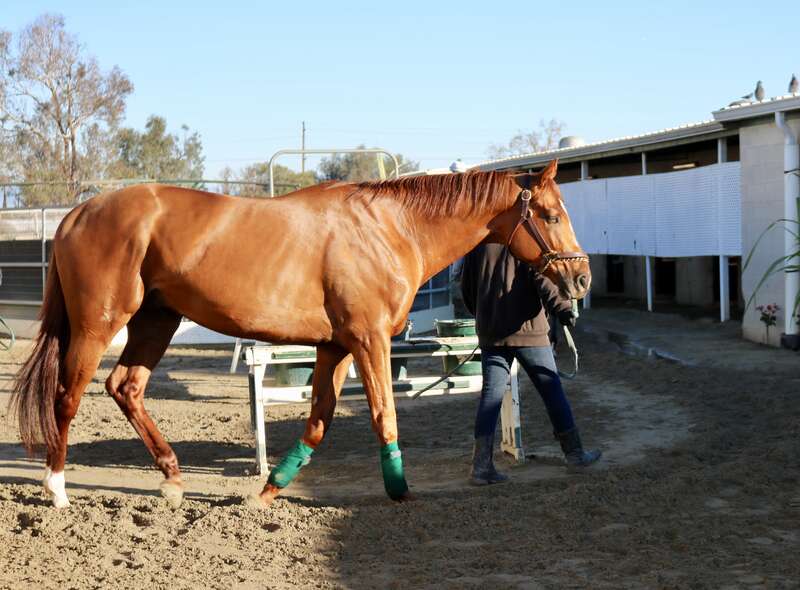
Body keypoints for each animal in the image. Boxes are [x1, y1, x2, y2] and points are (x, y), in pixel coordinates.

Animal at [9, 159, 590, 509]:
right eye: (550, 214)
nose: (581, 278)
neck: (389, 228)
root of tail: (77, 214)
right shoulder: (369, 340)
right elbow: (383, 413)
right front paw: (399, 489)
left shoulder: (335, 346)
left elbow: (318, 422)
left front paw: (269, 489)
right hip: (99, 323)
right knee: (67, 396)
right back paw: (56, 489)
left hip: (156, 320)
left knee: (125, 387)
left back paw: (172, 477)